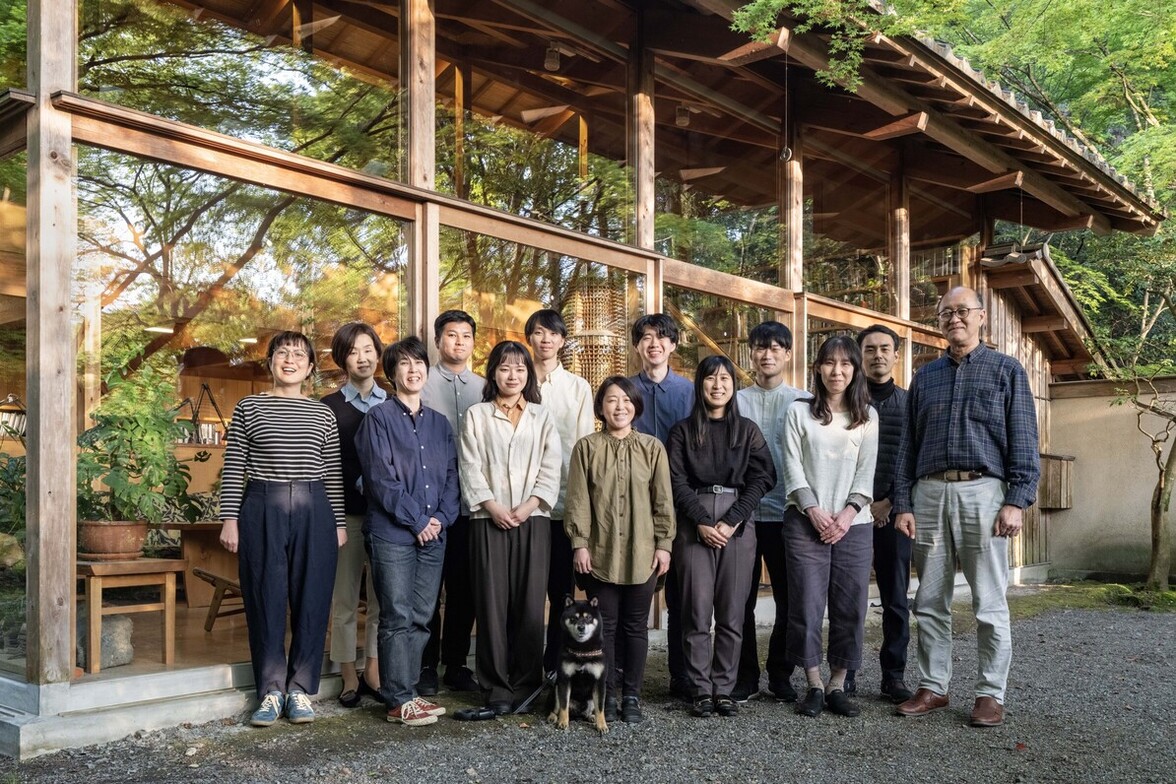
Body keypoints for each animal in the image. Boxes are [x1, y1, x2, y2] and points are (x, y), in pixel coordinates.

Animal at [548, 597, 611, 733]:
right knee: (556, 708)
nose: (581, 627)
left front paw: (602, 725)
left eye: (588, 618)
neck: (582, 650)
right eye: (573, 618)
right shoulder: (564, 680)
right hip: (556, 689)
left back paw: (591, 717)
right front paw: (563, 722)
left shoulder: (599, 682)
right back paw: (553, 717)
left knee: (589, 711)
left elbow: (600, 708)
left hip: (590, 698)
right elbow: (563, 705)